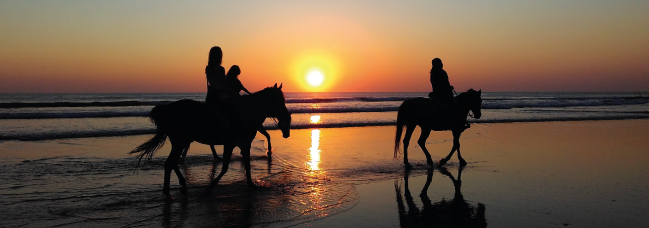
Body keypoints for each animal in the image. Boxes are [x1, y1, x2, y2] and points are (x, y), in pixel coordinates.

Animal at [130, 83, 292, 196]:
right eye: (278, 101)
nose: (287, 118)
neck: (245, 112)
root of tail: (167, 109)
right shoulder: (232, 144)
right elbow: (226, 167)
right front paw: (210, 187)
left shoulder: (243, 144)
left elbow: (246, 164)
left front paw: (251, 185)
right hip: (180, 141)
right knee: (170, 163)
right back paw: (171, 189)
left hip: (180, 142)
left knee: (172, 163)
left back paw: (178, 187)